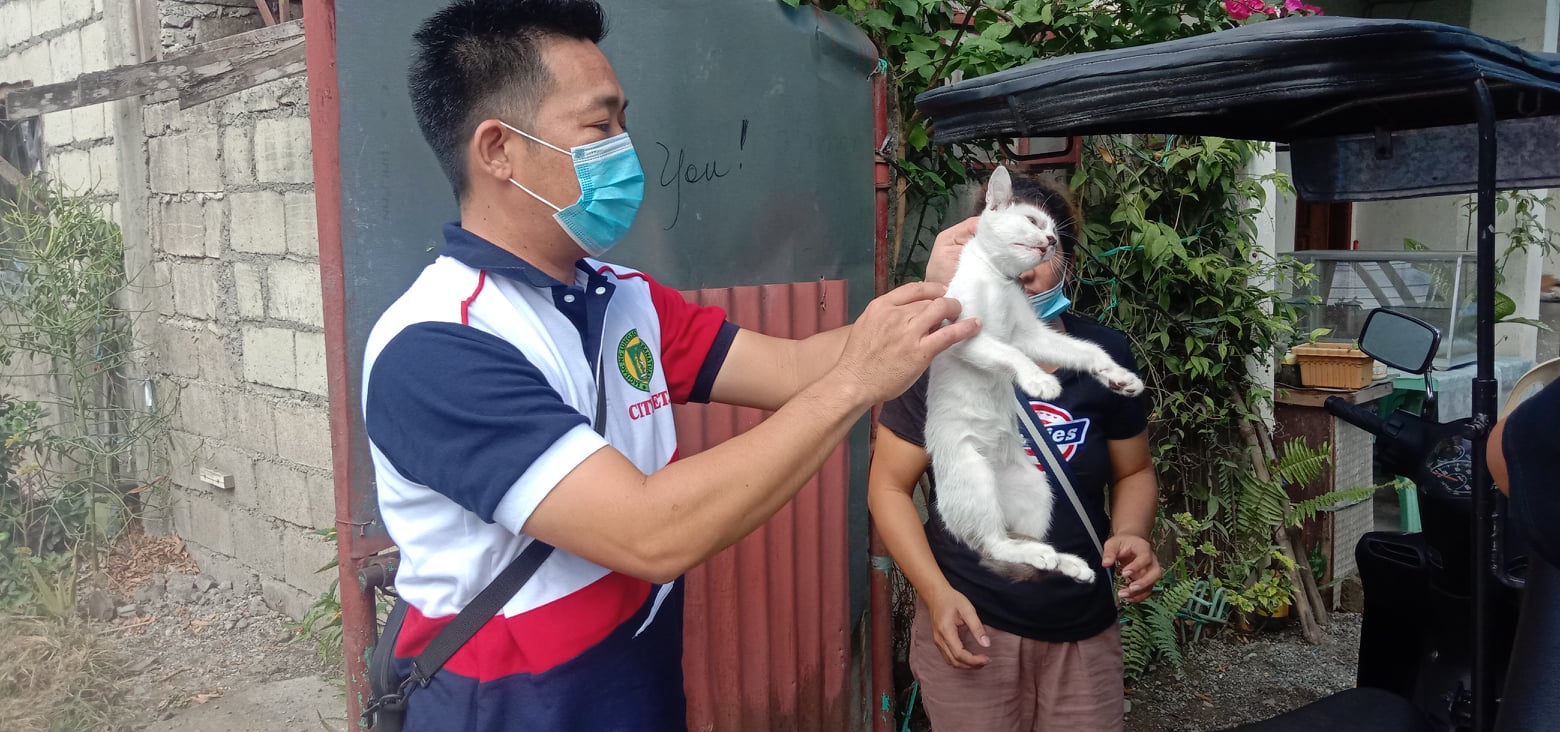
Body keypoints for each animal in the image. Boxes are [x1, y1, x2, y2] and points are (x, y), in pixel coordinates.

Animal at [923, 165, 1148, 580]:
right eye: (1032, 221)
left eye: (1054, 233)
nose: (1049, 241)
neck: (999, 280)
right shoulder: (964, 335)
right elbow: (1009, 353)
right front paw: (1039, 381)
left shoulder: (1032, 335)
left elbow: (1085, 350)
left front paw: (1118, 377)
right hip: (974, 473)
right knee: (994, 543)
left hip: (1037, 487)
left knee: (1012, 542)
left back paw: (1067, 563)